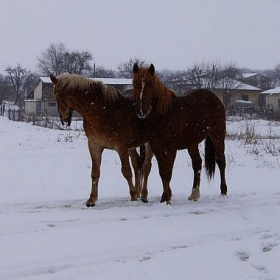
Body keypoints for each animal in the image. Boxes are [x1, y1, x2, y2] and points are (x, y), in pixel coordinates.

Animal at [50, 73, 151, 207]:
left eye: (57, 96)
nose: (64, 119)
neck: (101, 111)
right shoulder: (94, 146)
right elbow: (95, 172)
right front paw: (91, 199)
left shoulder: (121, 148)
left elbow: (126, 171)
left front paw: (133, 197)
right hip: (132, 147)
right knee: (137, 165)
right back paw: (139, 192)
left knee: (146, 167)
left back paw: (143, 195)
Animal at [132, 63, 228, 203]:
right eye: (135, 84)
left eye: (150, 84)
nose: (141, 111)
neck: (165, 114)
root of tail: (215, 98)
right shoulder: (156, 147)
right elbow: (162, 172)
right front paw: (165, 197)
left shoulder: (171, 148)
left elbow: (167, 172)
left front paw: (166, 198)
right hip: (192, 142)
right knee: (197, 163)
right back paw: (194, 194)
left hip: (218, 136)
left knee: (221, 161)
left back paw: (223, 192)